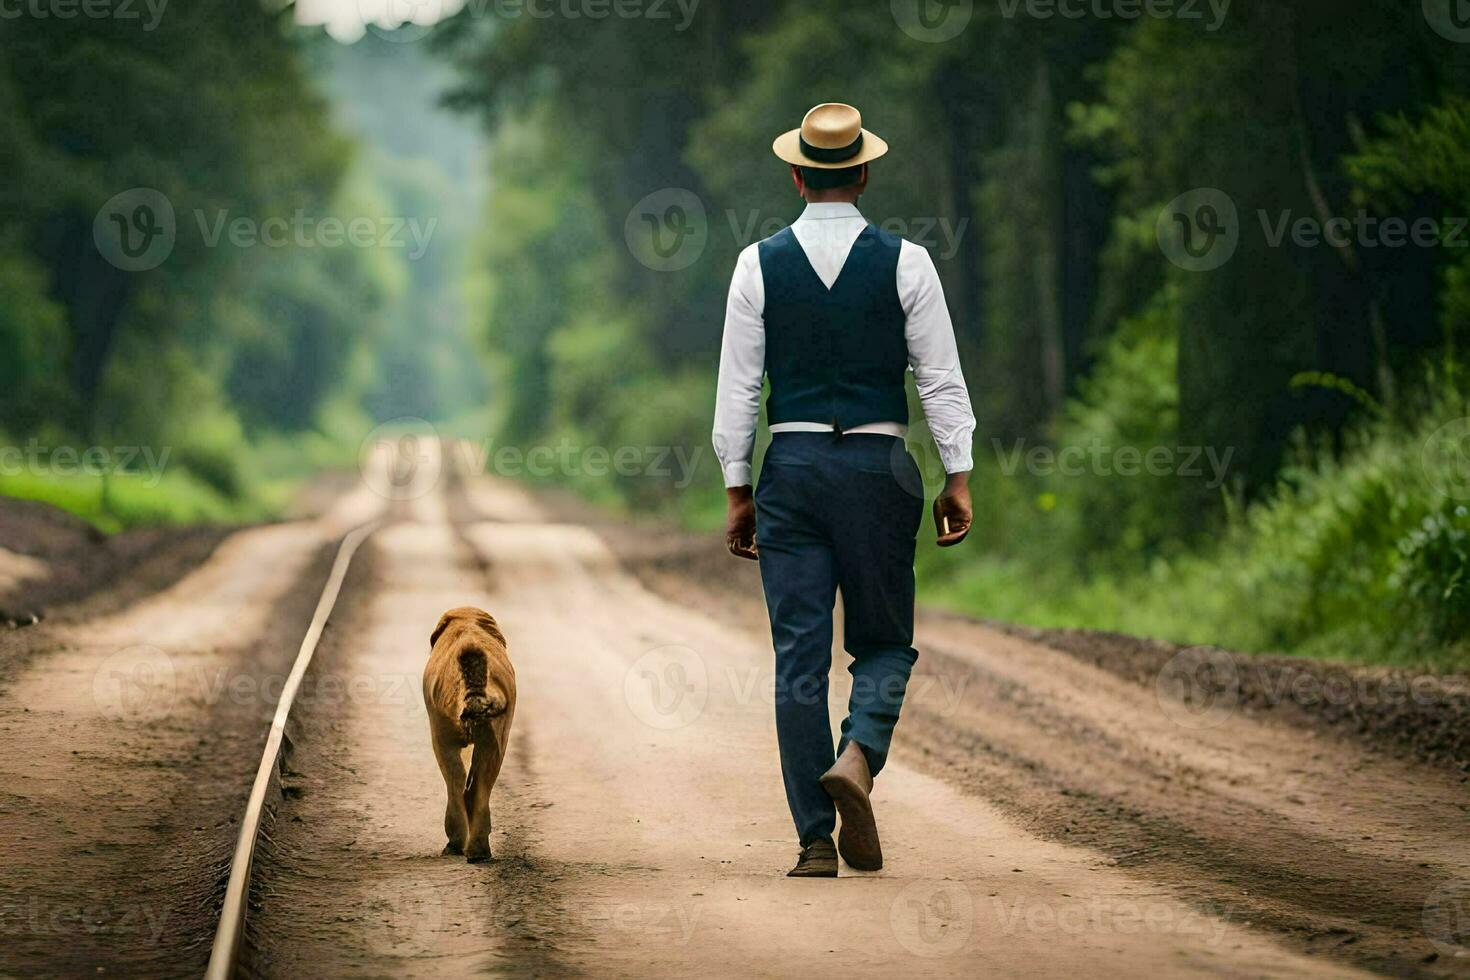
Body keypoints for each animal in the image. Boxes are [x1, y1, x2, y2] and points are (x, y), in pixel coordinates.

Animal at [423, 602, 514, 863]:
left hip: (442, 724)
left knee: (455, 775)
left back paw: (458, 845)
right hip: (493, 724)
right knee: (483, 775)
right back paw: (478, 851)